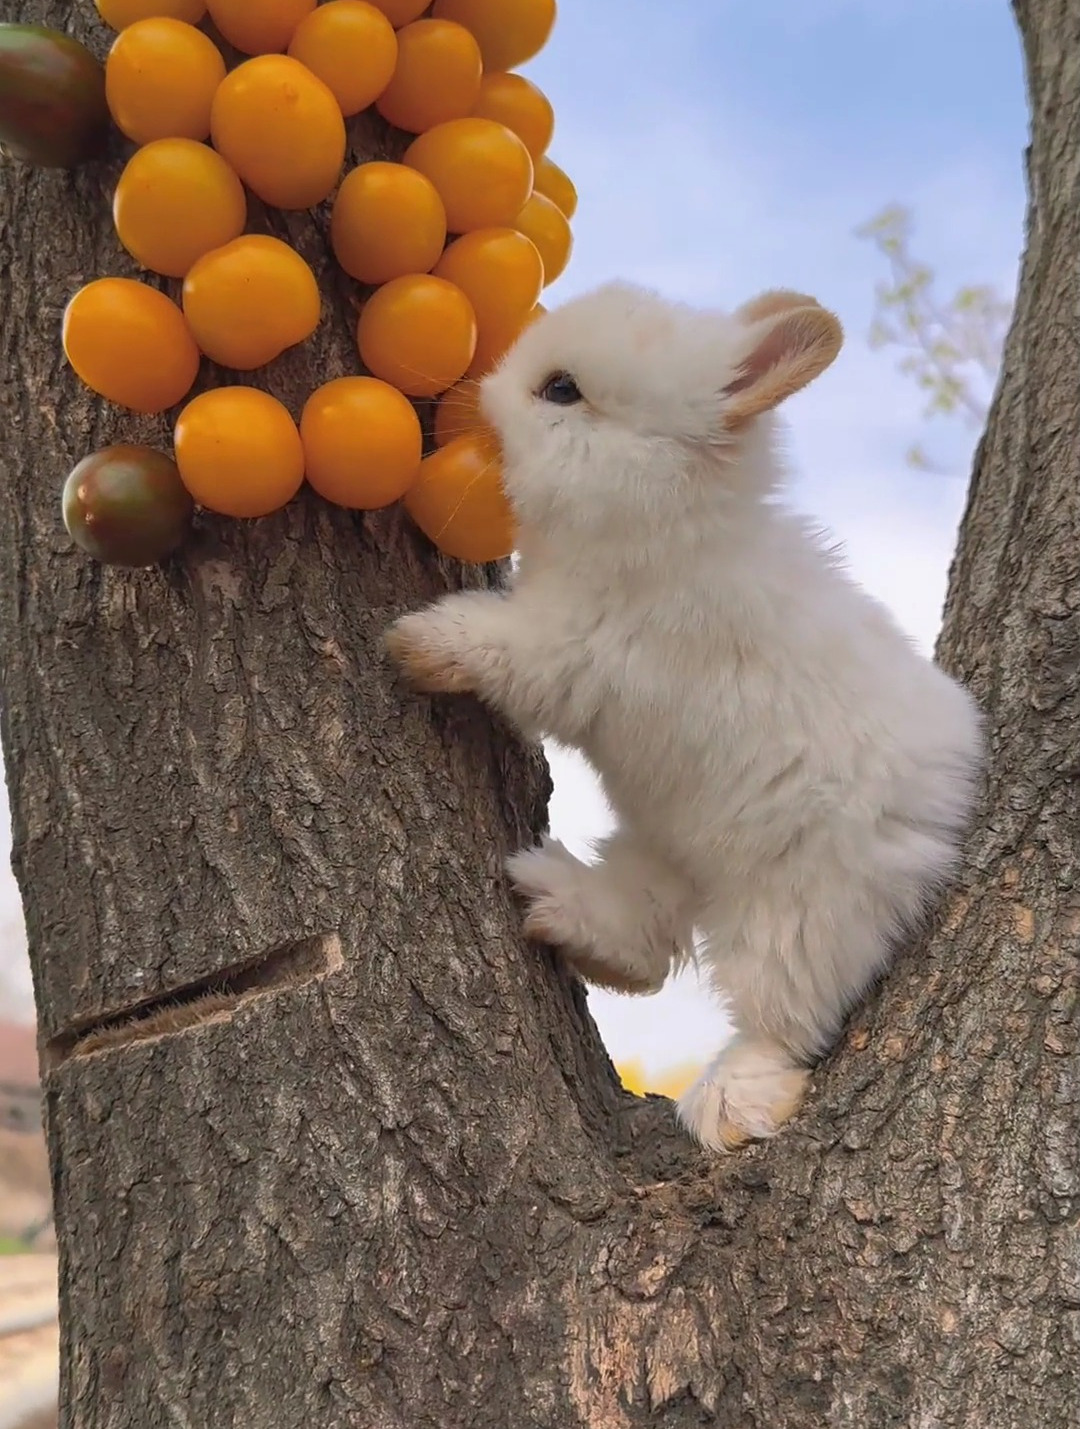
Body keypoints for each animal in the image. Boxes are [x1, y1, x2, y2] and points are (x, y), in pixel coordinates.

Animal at [388, 284, 988, 1154]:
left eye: (561, 390)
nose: (480, 395)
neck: (665, 523)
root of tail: (944, 805)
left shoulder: (570, 647)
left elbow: (496, 645)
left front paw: (418, 641)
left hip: (800, 911)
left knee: (779, 1018)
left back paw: (732, 1105)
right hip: (658, 841)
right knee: (642, 943)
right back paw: (553, 905)